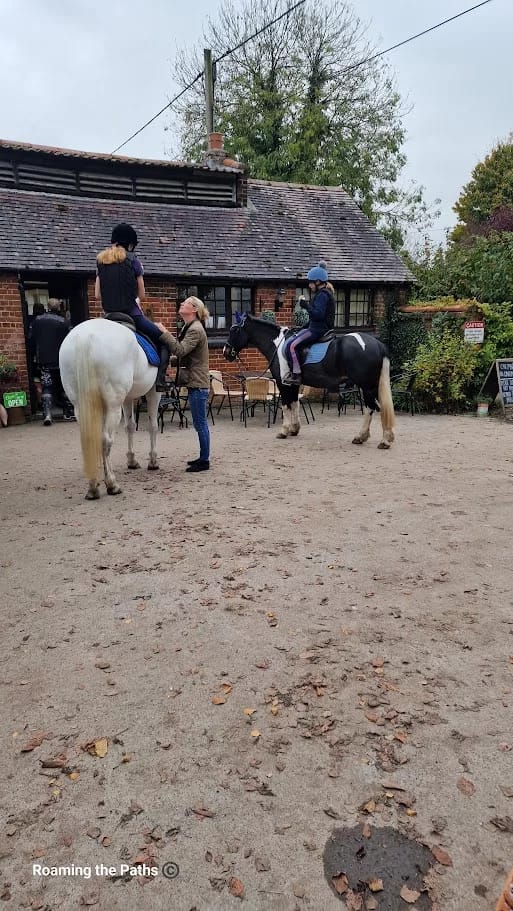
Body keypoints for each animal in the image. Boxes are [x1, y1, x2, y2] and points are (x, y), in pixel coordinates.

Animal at [59, 319, 161, 499]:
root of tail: (84, 337)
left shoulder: (127, 398)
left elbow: (130, 427)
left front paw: (132, 461)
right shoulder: (154, 392)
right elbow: (153, 426)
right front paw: (153, 461)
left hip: (82, 406)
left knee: (91, 438)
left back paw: (93, 486)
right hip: (113, 406)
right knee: (105, 441)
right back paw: (111, 484)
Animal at [223, 313, 395, 448]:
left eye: (235, 330)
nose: (226, 351)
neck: (278, 345)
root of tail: (377, 344)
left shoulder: (282, 383)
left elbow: (285, 405)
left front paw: (284, 431)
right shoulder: (293, 384)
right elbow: (295, 404)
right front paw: (294, 429)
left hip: (367, 387)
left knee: (373, 408)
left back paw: (378, 439)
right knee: (374, 408)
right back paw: (371, 438)